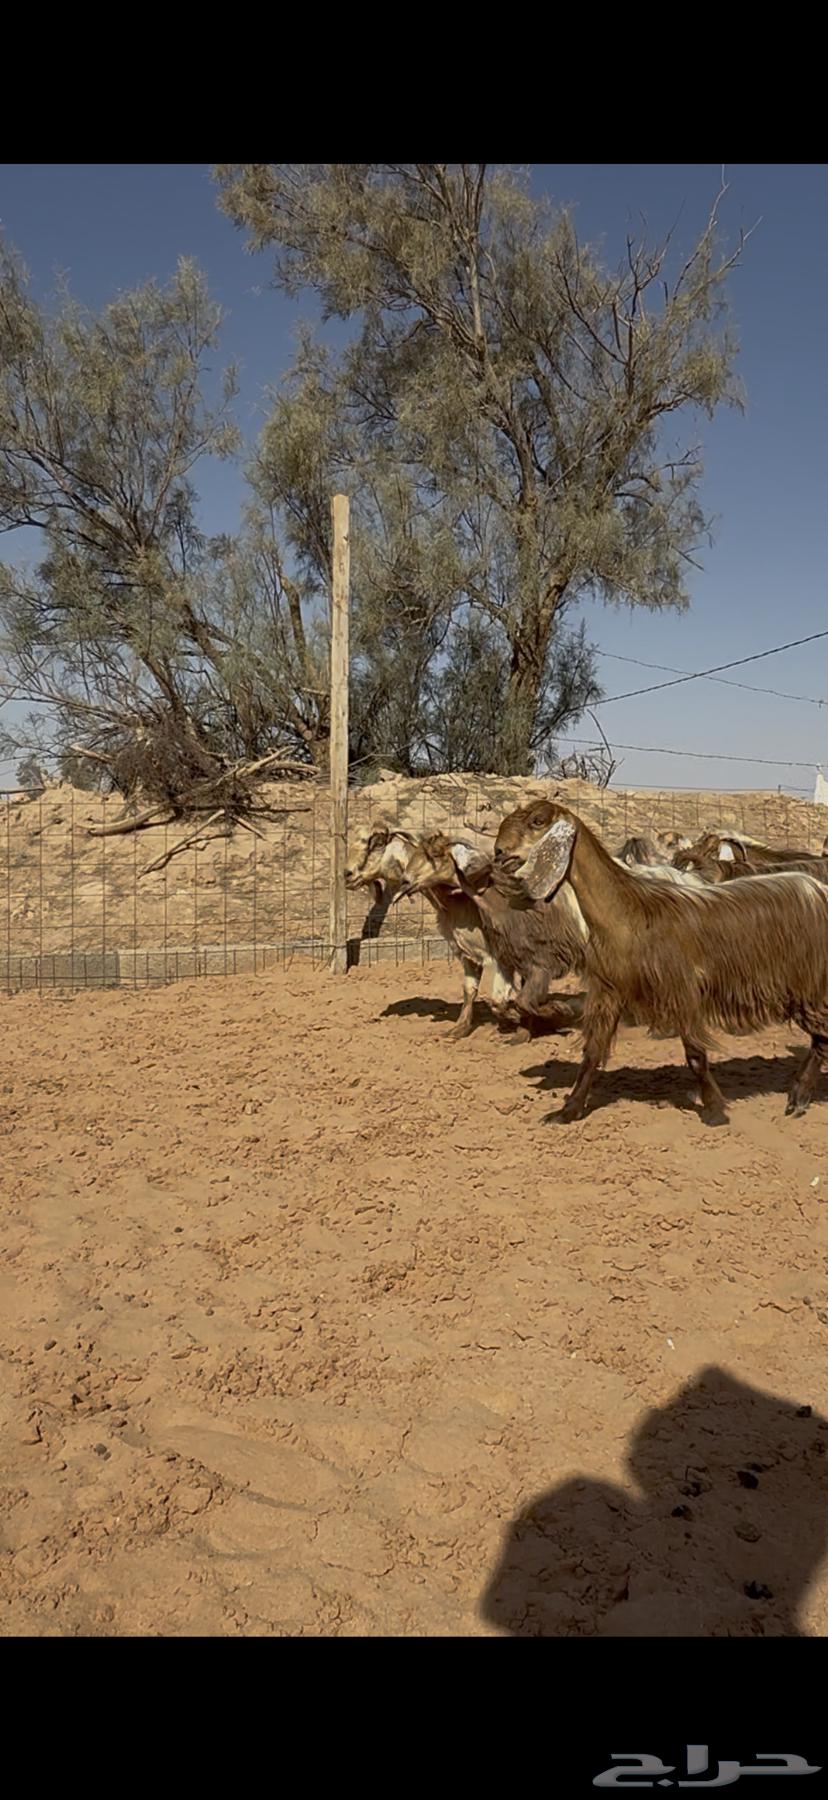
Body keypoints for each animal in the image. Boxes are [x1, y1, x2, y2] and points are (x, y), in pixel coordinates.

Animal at [345, 824, 514, 1039]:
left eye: (377, 844)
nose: (347, 874)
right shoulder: (465, 949)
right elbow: (470, 989)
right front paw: (459, 1029)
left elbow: (501, 997)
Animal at [494, 798, 828, 1125]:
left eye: (538, 821)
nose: (498, 853)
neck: (630, 913)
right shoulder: (609, 990)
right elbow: (592, 1052)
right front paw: (568, 1111)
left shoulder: (681, 990)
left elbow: (695, 1055)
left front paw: (714, 1111)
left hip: (810, 986)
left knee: (822, 1037)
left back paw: (798, 1098)